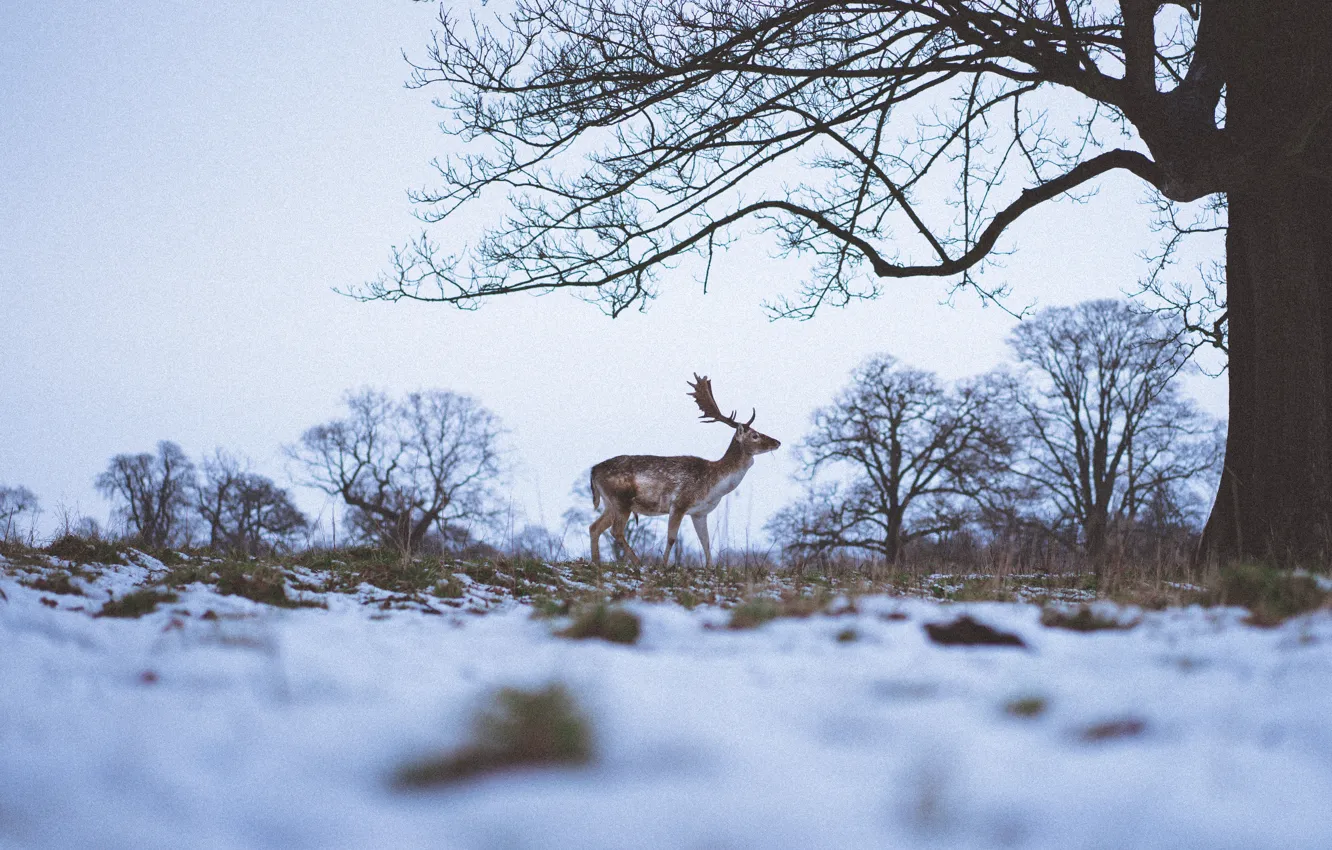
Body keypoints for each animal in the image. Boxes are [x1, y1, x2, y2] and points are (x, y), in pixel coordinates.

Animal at [589, 374, 780, 568]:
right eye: (755, 435)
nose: (777, 442)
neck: (714, 485)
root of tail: (594, 470)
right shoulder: (679, 503)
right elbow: (672, 538)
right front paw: (663, 565)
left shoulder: (699, 513)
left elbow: (706, 542)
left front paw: (710, 567)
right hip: (621, 500)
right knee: (616, 531)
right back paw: (638, 562)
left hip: (609, 502)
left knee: (594, 527)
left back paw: (596, 561)